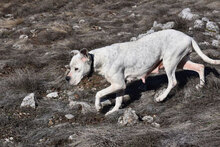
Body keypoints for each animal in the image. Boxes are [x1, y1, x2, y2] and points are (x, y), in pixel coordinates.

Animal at [65, 29, 220, 115]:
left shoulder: (118, 84)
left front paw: (98, 107)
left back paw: (161, 98)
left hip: (170, 62)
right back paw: (201, 85)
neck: (99, 59)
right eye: (69, 67)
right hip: (182, 61)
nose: (67, 79)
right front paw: (113, 111)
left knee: (173, 81)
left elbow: (98, 93)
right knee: (200, 66)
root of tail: (189, 37)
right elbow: (118, 100)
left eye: (76, 68)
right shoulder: (120, 86)